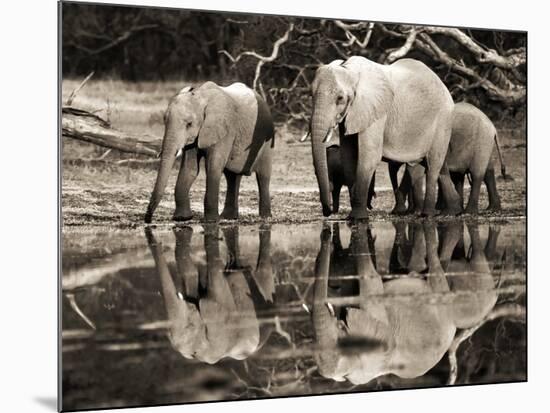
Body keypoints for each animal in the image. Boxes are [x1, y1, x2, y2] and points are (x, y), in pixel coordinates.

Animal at [144, 80, 274, 222]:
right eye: (164, 121)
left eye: (189, 124)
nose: (148, 219)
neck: (201, 96)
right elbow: (190, 168)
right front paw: (182, 218)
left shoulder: (225, 128)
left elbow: (213, 166)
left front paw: (211, 221)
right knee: (232, 176)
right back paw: (228, 217)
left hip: (266, 139)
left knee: (263, 176)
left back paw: (265, 218)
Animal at [310, 57, 462, 219]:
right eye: (311, 95)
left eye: (340, 98)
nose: (327, 212)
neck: (350, 71)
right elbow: (348, 155)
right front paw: (353, 216)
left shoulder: (376, 111)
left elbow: (369, 155)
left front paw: (357, 218)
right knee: (439, 165)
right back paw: (453, 212)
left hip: (443, 120)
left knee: (434, 163)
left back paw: (427, 215)